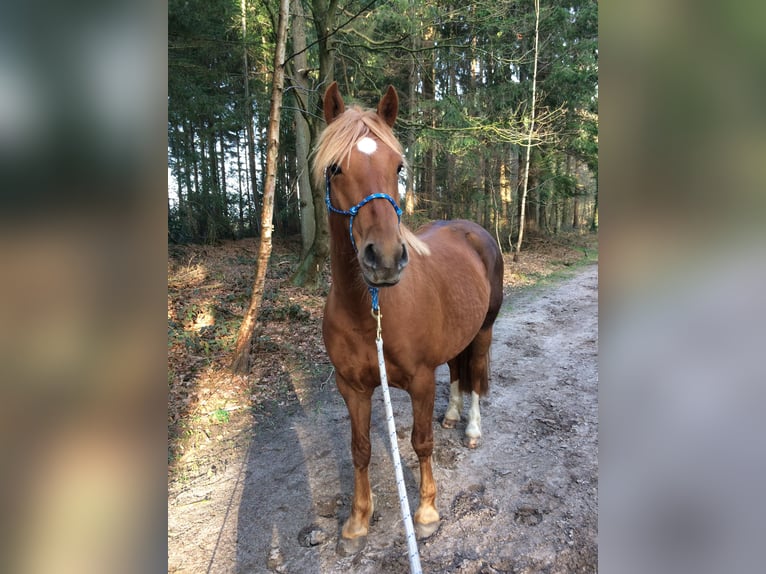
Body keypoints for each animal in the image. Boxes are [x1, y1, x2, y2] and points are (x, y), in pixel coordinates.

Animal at [315, 82, 504, 554]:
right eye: (335, 169)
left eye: (398, 167)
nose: (384, 258)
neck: (371, 311)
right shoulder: (352, 388)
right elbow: (360, 448)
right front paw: (358, 521)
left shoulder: (419, 380)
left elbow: (421, 443)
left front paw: (427, 513)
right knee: (456, 371)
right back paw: (452, 414)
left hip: (484, 330)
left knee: (476, 373)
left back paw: (471, 429)